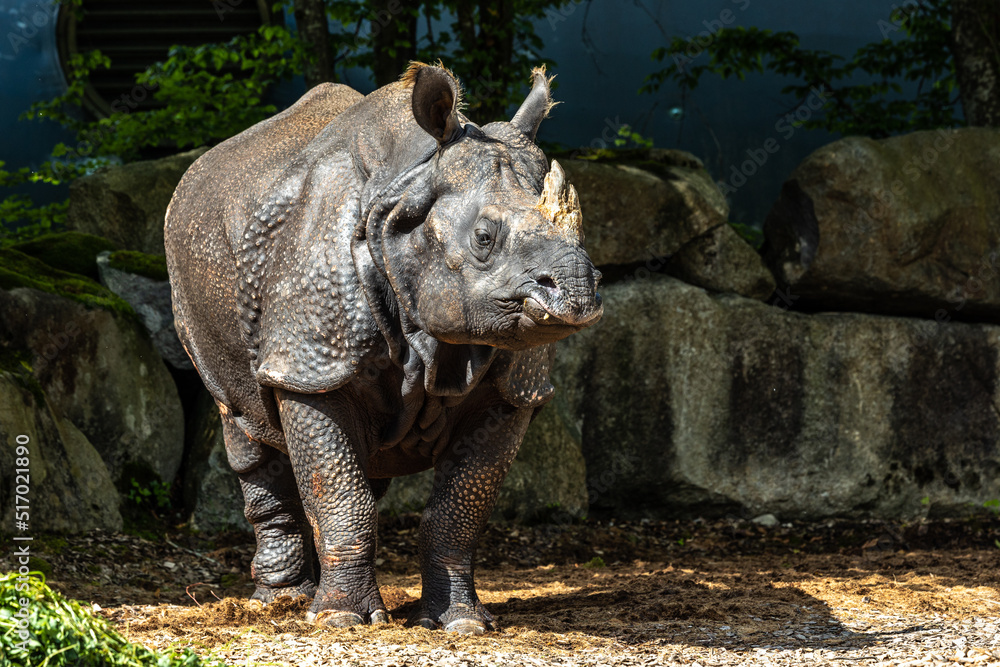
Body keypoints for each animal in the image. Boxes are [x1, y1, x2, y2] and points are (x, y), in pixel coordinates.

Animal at [165, 63, 602, 634]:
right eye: (483, 238)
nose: (578, 292)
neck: (408, 188)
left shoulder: (515, 386)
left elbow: (459, 508)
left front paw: (461, 623)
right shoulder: (314, 361)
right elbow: (339, 491)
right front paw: (339, 621)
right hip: (192, 269)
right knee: (243, 422)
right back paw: (280, 604)